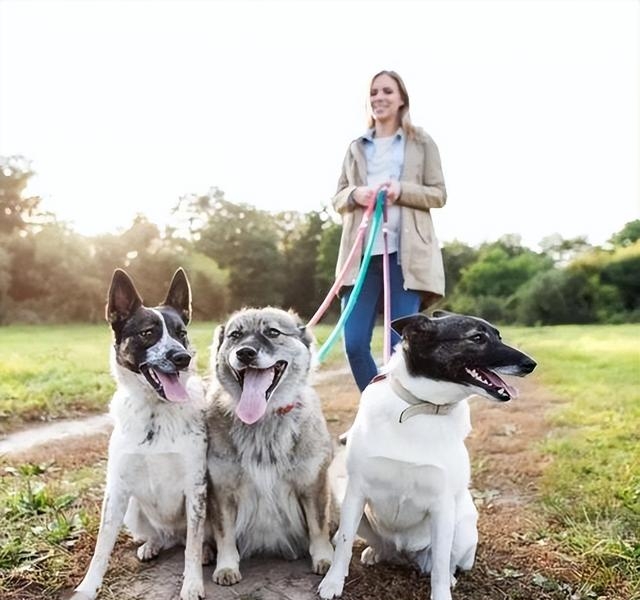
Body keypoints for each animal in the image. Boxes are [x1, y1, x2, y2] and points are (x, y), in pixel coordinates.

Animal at [73, 268, 208, 600]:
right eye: (148, 333)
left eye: (181, 333)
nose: (182, 357)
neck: (155, 414)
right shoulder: (117, 489)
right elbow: (101, 547)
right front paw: (87, 587)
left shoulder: (196, 486)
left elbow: (193, 546)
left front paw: (192, 584)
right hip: (133, 509)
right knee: (162, 537)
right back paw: (152, 545)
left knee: (191, 542)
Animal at [318, 312, 536, 596]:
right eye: (477, 337)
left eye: (498, 336)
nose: (531, 364)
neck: (422, 407)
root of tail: (403, 554)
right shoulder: (356, 492)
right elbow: (344, 543)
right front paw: (333, 583)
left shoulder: (442, 507)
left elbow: (441, 566)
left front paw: (442, 593)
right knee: (377, 546)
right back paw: (375, 553)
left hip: (463, 525)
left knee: (447, 562)